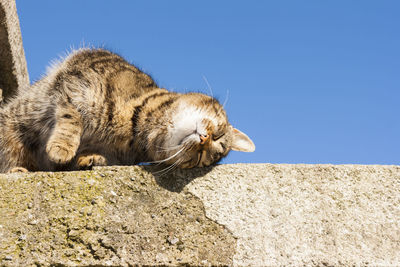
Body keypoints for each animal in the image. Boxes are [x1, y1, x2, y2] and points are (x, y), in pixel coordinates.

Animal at [0, 48, 256, 174]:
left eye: (201, 159)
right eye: (218, 134)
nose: (203, 140)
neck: (133, 126)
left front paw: (91, 158)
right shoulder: (78, 81)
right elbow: (72, 117)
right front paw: (62, 147)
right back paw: (17, 169)